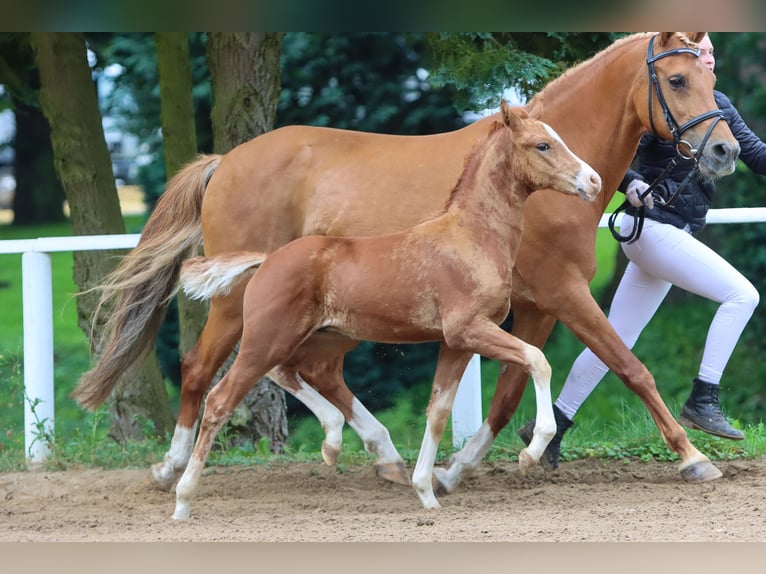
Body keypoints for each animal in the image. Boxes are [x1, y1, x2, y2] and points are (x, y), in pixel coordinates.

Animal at [171, 103, 604, 520]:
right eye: (542, 145)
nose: (594, 181)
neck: (471, 237)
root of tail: (266, 259)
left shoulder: (456, 343)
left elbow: (437, 411)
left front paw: (426, 492)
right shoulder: (468, 329)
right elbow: (537, 359)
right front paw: (531, 451)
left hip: (314, 336)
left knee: (291, 371)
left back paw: (335, 442)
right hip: (269, 337)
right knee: (220, 398)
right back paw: (182, 498)